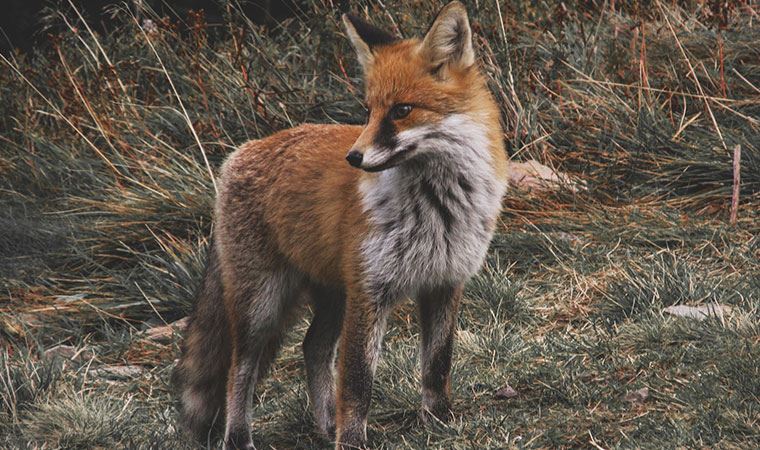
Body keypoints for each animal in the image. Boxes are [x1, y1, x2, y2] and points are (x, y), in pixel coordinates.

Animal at [171, 1, 504, 448]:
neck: (437, 208)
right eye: (368, 111)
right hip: (262, 305)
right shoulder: (370, 291)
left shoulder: (445, 282)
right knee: (239, 368)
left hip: (332, 294)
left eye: (401, 111)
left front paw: (438, 420)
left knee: (312, 347)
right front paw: (352, 440)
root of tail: (240, 152)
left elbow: (437, 363)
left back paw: (325, 425)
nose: (354, 157)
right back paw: (240, 437)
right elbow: (357, 381)